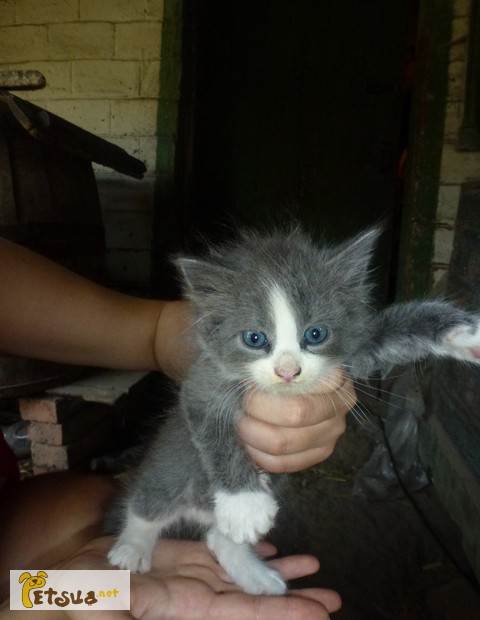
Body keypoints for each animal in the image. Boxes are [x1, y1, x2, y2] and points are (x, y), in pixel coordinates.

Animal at [107, 225, 480, 592]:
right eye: (254, 339)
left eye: (315, 334)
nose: (288, 371)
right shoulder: (202, 384)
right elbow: (215, 432)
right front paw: (244, 505)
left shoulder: (355, 349)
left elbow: (395, 331)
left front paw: (465, 335)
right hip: (168, 472)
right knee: (146, 504)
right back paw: (131, 549)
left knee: (217, 539)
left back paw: (256, 576)